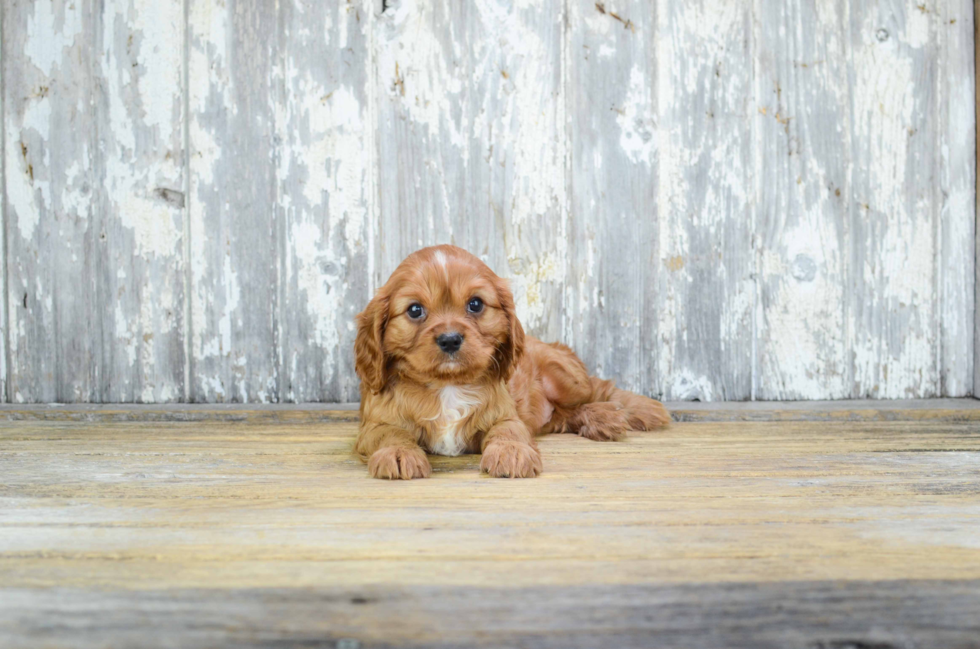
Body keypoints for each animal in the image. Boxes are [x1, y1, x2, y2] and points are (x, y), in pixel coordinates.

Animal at [356, 246, 668, 478]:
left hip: (566, 380)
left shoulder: (507, 415)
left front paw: (511, 452)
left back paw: (630, 410)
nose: (450, 339)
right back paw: (603, 419)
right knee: (567, 415)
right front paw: (398, 453)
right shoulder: (373, 425)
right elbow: (391, 434)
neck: (447, 386)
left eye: (476, 304)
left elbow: (508, 431)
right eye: (415, 310)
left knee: (597, 388)